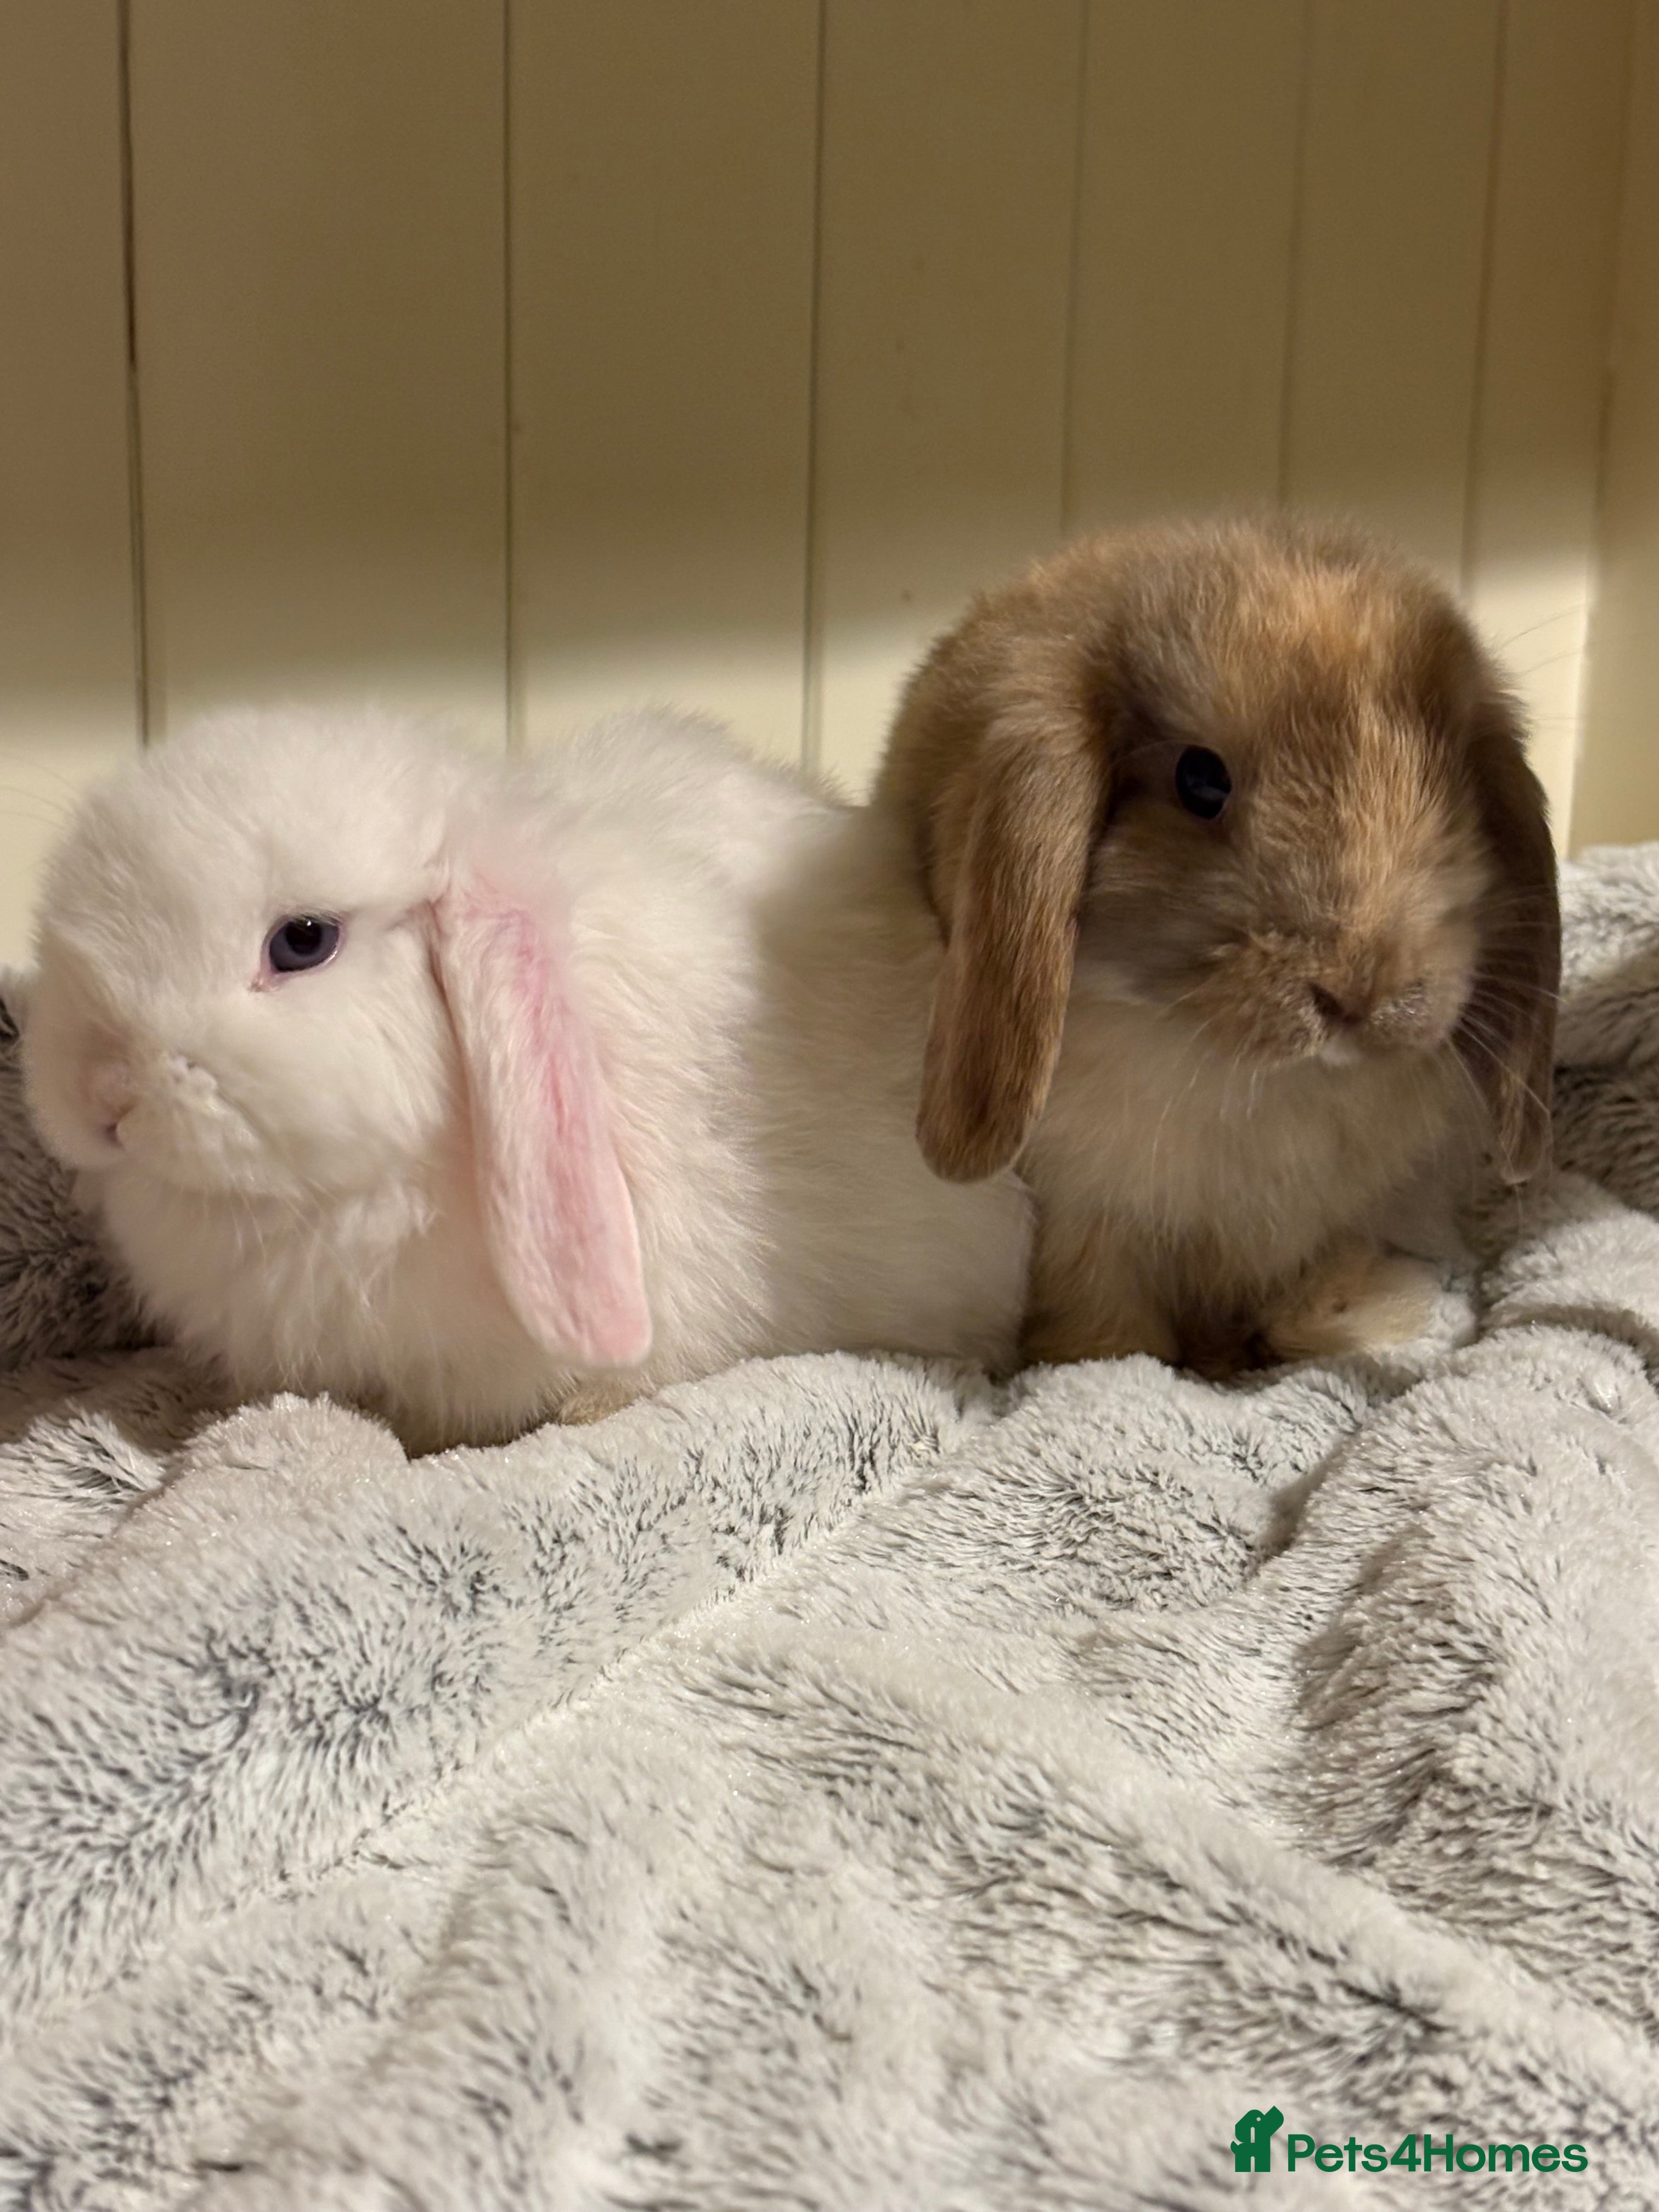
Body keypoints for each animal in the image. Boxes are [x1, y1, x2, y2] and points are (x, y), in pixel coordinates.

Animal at [873, 516, 1560, 1377]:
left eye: (1455, 781)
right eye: (1200, 781)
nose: (1360, 993)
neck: (1259, 1084)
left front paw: (1350, 1312)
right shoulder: (1085, 1221)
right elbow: (1105, 1323)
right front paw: (1108, 1360)